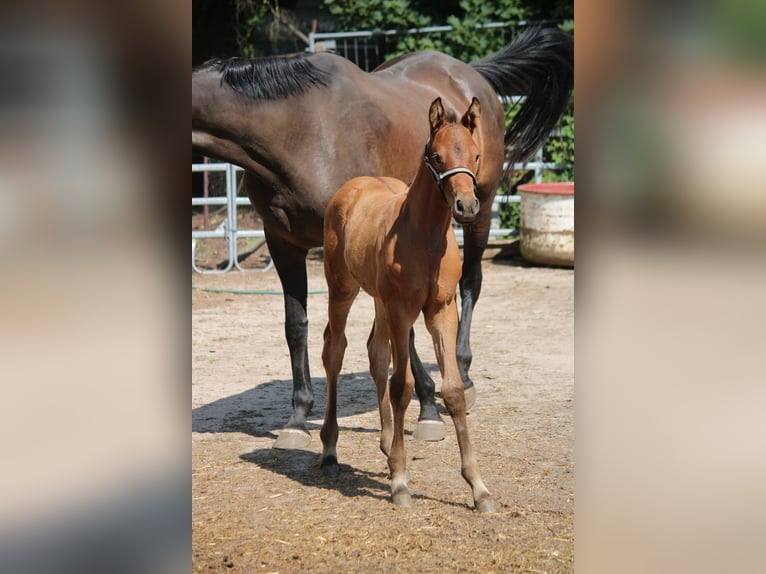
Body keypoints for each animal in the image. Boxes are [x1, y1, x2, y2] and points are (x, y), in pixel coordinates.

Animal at [192, 27, 573, 449]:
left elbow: (407, 331)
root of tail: (469, 74)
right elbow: (297, 325)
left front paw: (428, 408)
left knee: (471, 284)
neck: (300, 132)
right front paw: (297, 417)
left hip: (482, 209)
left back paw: (464, 371)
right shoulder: (282, 242)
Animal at [320, 96, 496, 512]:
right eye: (436, 156)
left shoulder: (442, 310)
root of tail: (351, 188)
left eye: (475, 154)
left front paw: (478, 488)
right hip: (343, 289)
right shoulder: (403, 311)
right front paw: (401, 482)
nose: (467, 207)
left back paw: (386, 445)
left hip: (379, 300)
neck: (426, 237)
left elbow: (453, 391)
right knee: (335, 351)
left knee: (375, 352)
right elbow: (402, 386)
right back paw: (330, 452)